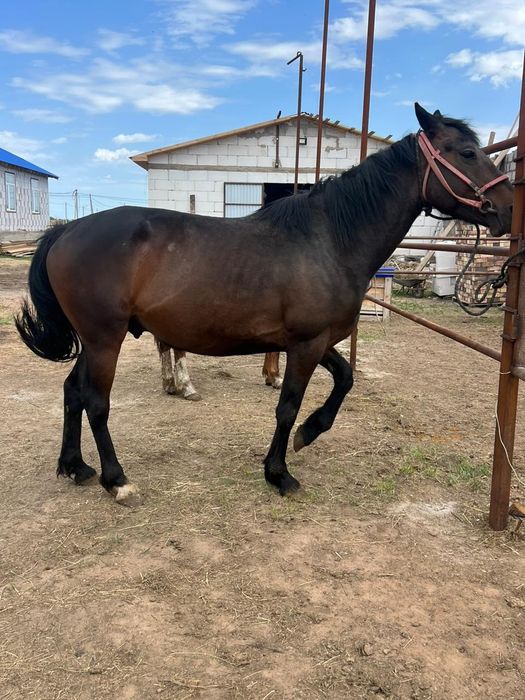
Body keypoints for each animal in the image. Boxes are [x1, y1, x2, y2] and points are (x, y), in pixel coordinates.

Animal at [16, 104, 513, 506]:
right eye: (467, 153)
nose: (507, 210)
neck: (330, 240)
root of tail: (66, 231)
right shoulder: (307, 344)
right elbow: (287, 406)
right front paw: (279, 473)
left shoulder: (315, 340)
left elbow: (345, 379)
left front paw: (310, 433)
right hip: (105, 339)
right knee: (96, 402)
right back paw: (116, 481)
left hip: (94, 340)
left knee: (72, 391)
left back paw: (76, 467)